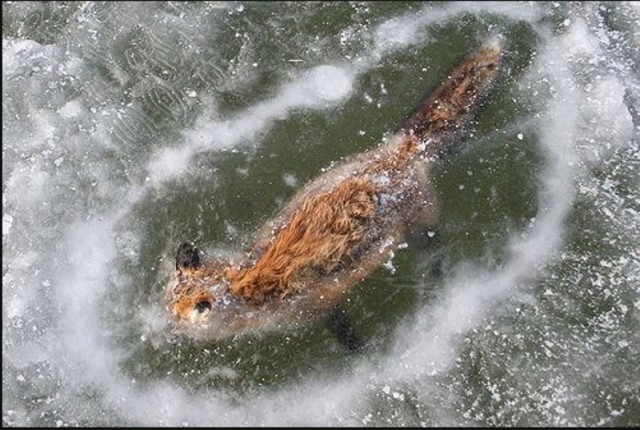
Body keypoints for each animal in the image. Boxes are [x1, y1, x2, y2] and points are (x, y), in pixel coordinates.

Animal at [164, 39, 503, 348]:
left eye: (183, 316)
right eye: (168, 303)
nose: (163, 332)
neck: (251, 287)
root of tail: (406, 149)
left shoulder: (317, 305)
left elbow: (341, 326)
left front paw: (358, 348)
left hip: (421, 218)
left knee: (433, 245)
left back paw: (437, 271)